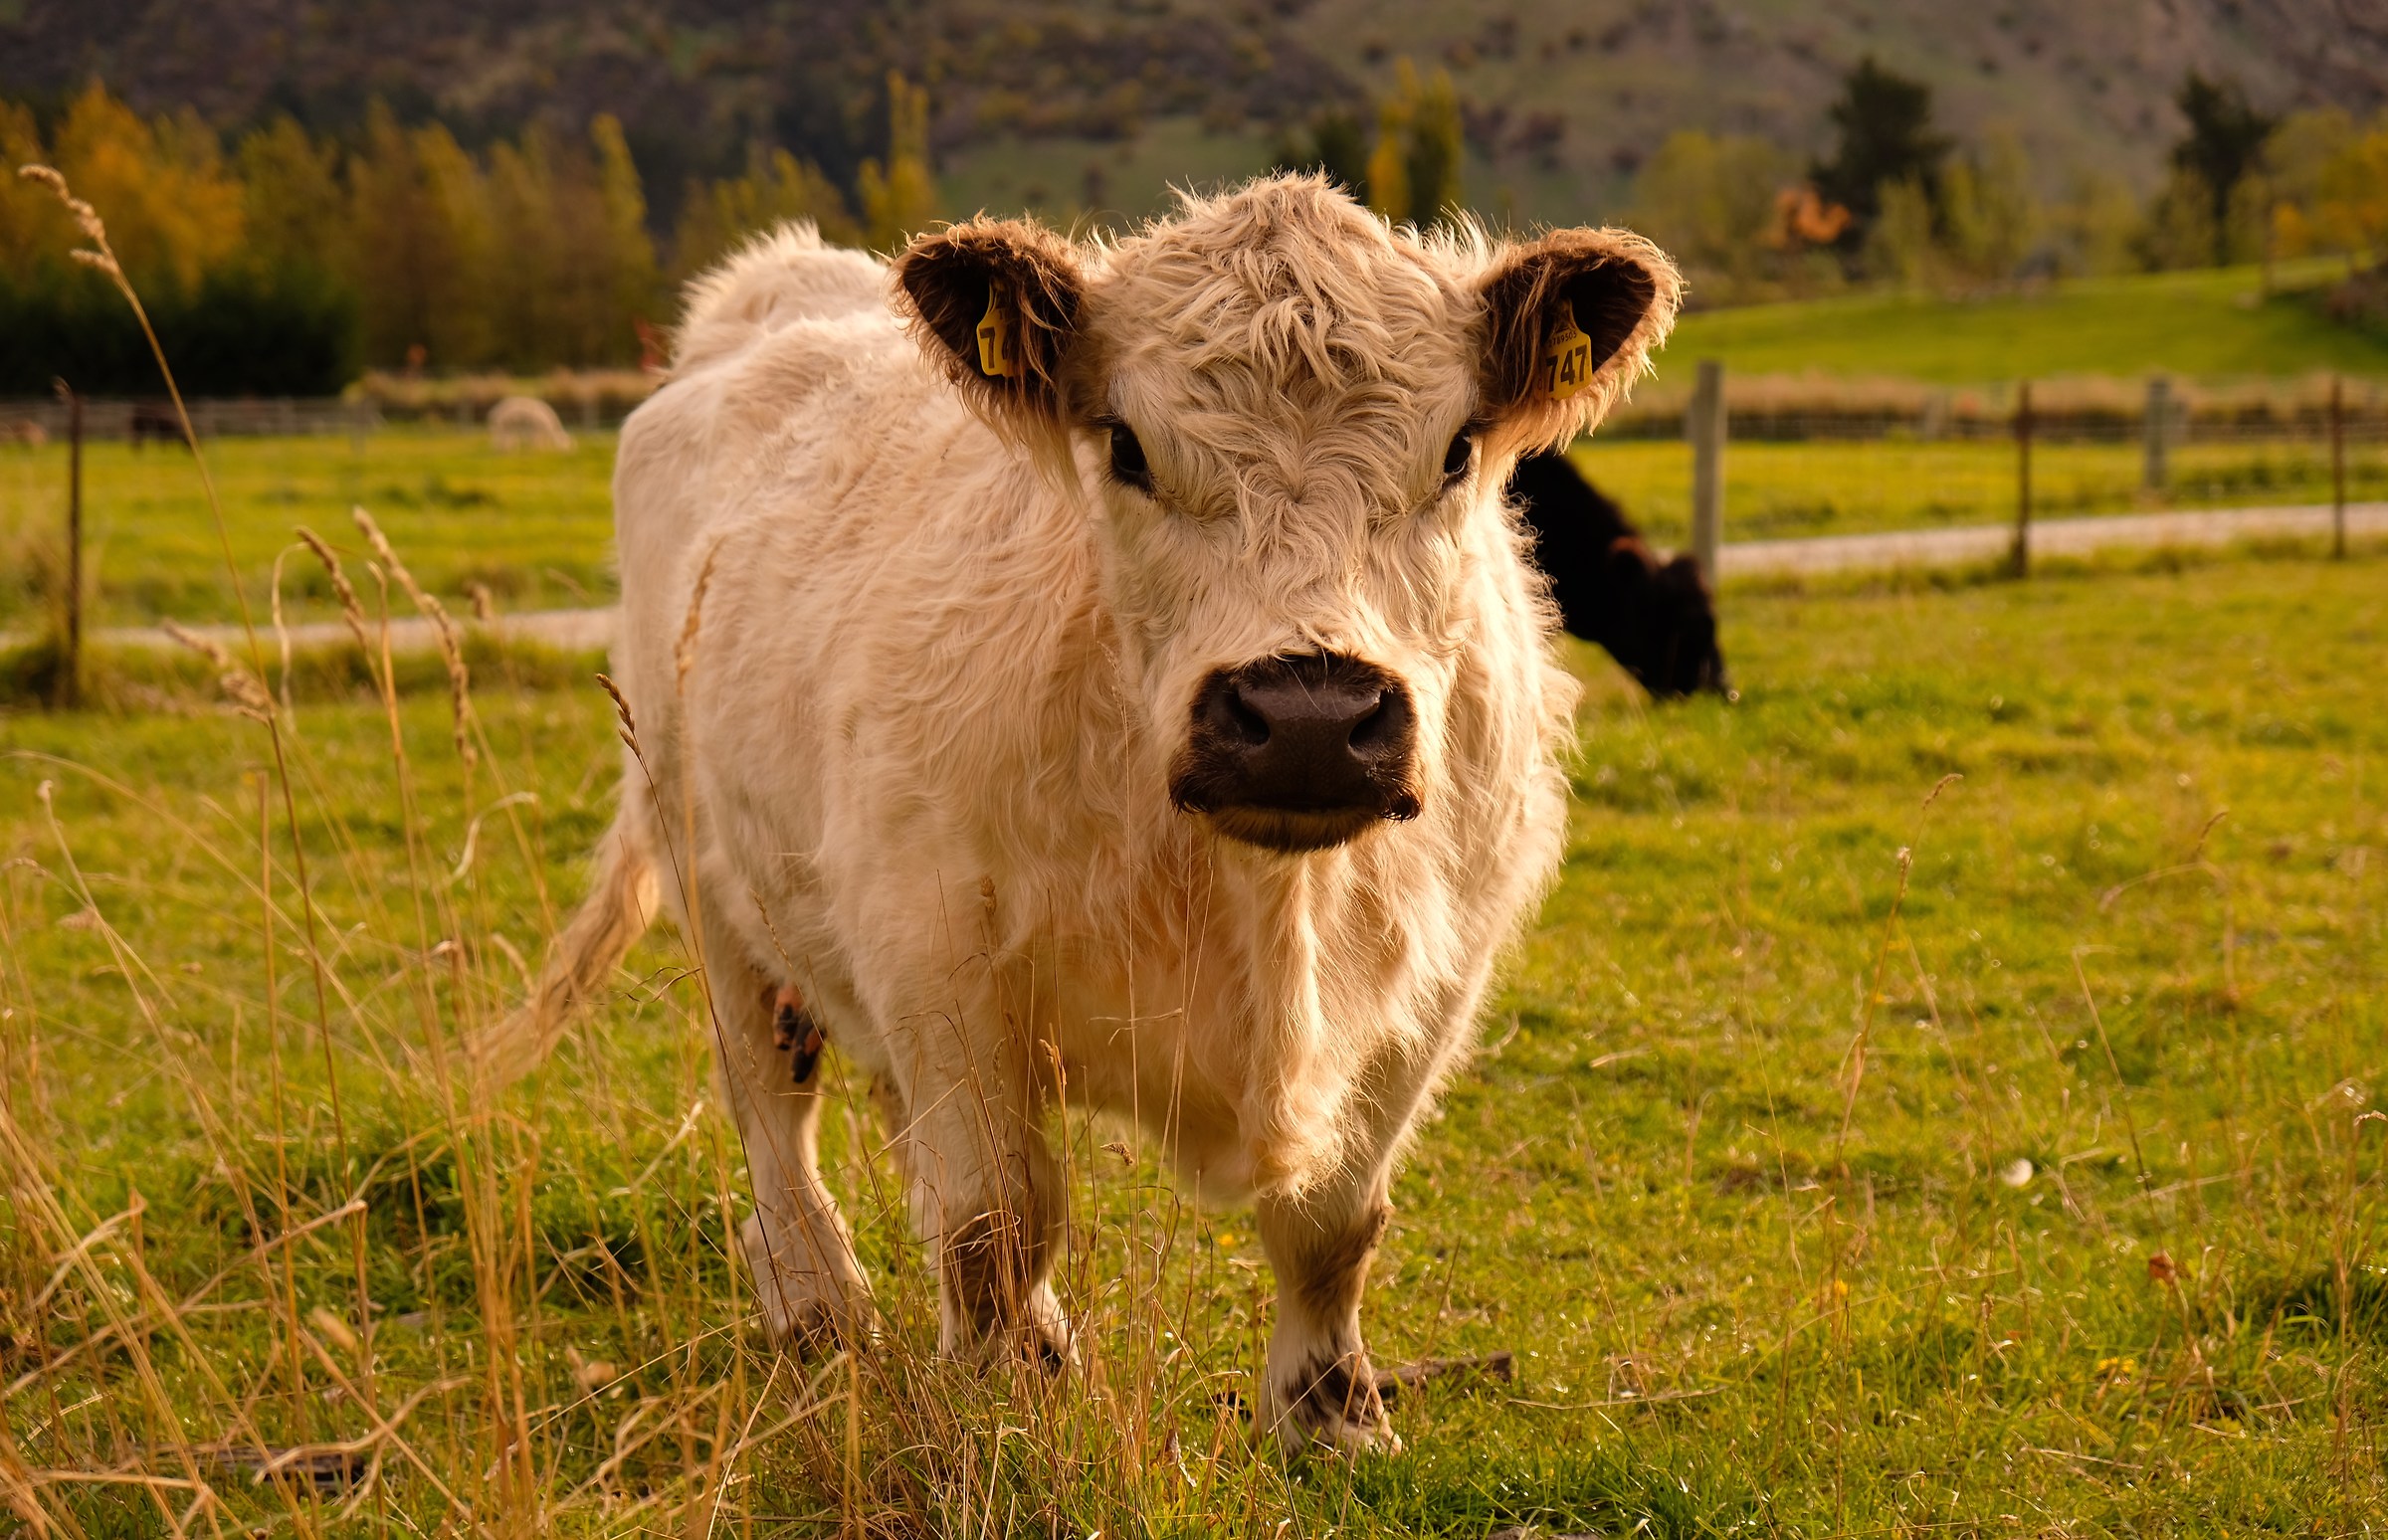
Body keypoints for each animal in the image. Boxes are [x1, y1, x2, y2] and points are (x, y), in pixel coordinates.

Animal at [479, 177, 1680, 1452]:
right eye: (1127, 446)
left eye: (1455, 450)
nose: (1307, 712)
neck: (1264, 908)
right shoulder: (937, 949)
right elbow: (996, 1221)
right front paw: (1003, 1416)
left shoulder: (1440, 969)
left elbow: (1334, 1222)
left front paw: (1331, 1422)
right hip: (710, 873)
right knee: (773, 1107)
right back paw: (817, 1306)